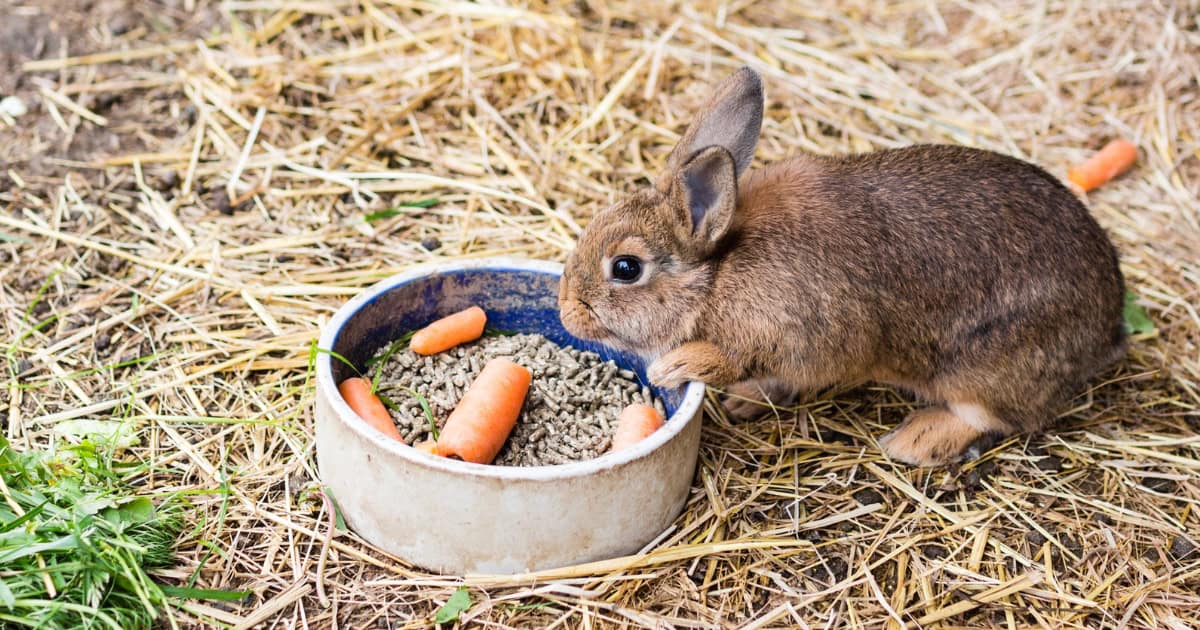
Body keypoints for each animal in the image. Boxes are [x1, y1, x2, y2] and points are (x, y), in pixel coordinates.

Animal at [558, 66, 1128, 466]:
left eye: (626, 268)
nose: (566, 312)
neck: (718, 272)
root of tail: (1109, 327)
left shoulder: (800, 332)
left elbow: (735, 357)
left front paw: (677, 366)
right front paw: (744, 399)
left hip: (983, 369)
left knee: (994, 417)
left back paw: (914, 440)